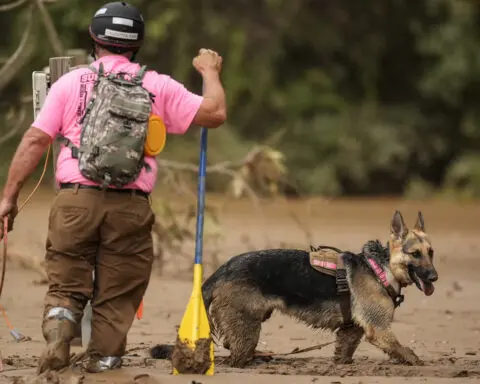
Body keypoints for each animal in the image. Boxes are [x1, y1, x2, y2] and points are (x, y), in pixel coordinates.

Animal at [182, 210, 436, 368]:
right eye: (415, 254)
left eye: (431, 253)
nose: (435, 276)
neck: (381, 268)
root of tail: (223, 270)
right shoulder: (379, 330)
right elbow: (407, 352)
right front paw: (420, 364)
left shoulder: (352, 331)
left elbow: (344, 351)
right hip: (247, 329)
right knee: (236, 357)